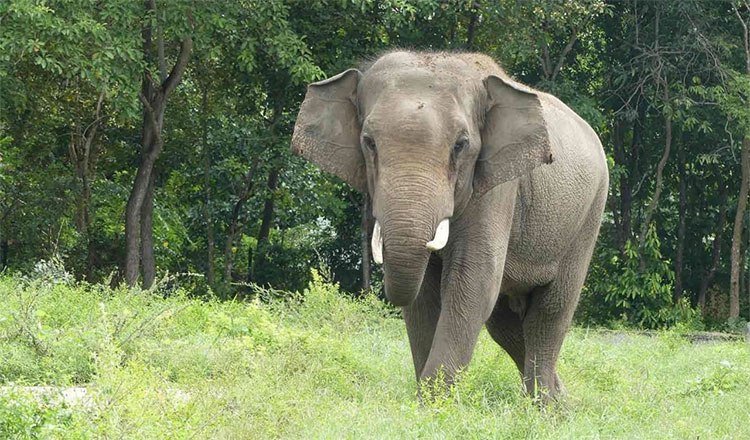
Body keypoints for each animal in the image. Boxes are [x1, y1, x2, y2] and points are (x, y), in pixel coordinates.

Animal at [291, 51, 608, 401]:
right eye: (369, 142)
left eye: (461, 144)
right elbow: (424, 297)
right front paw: (426, 402)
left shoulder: (498, 187)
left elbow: (472, 281)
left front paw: (433, 404)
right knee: (506, 324)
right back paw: (561, 402)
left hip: (589, 214)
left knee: (549, 311)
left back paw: (547, 404)